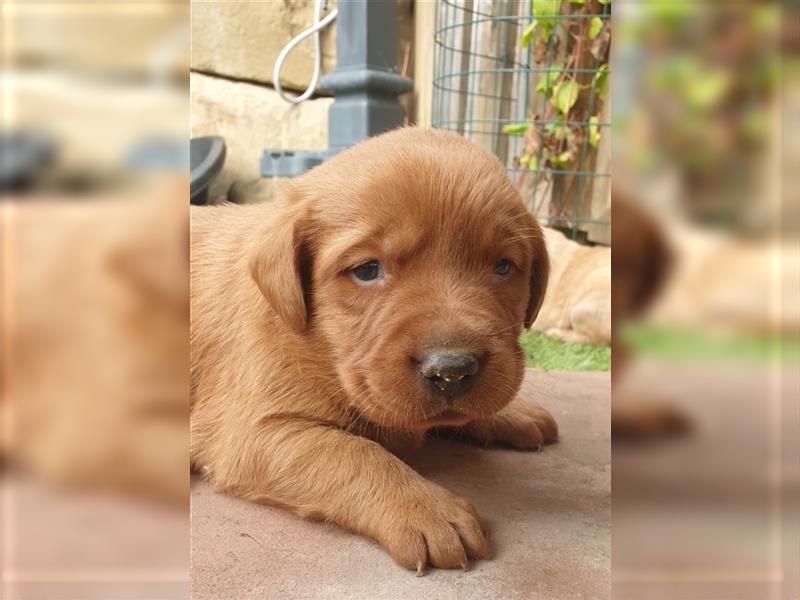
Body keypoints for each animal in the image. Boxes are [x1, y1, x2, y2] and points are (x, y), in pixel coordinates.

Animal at [193, 127, 556, 572]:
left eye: (503, 267)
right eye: (367, 270)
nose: (452, 370)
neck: (320, 347)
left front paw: (512, 413)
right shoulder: (253, 432)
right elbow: (350, 451)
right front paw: (426, 509)